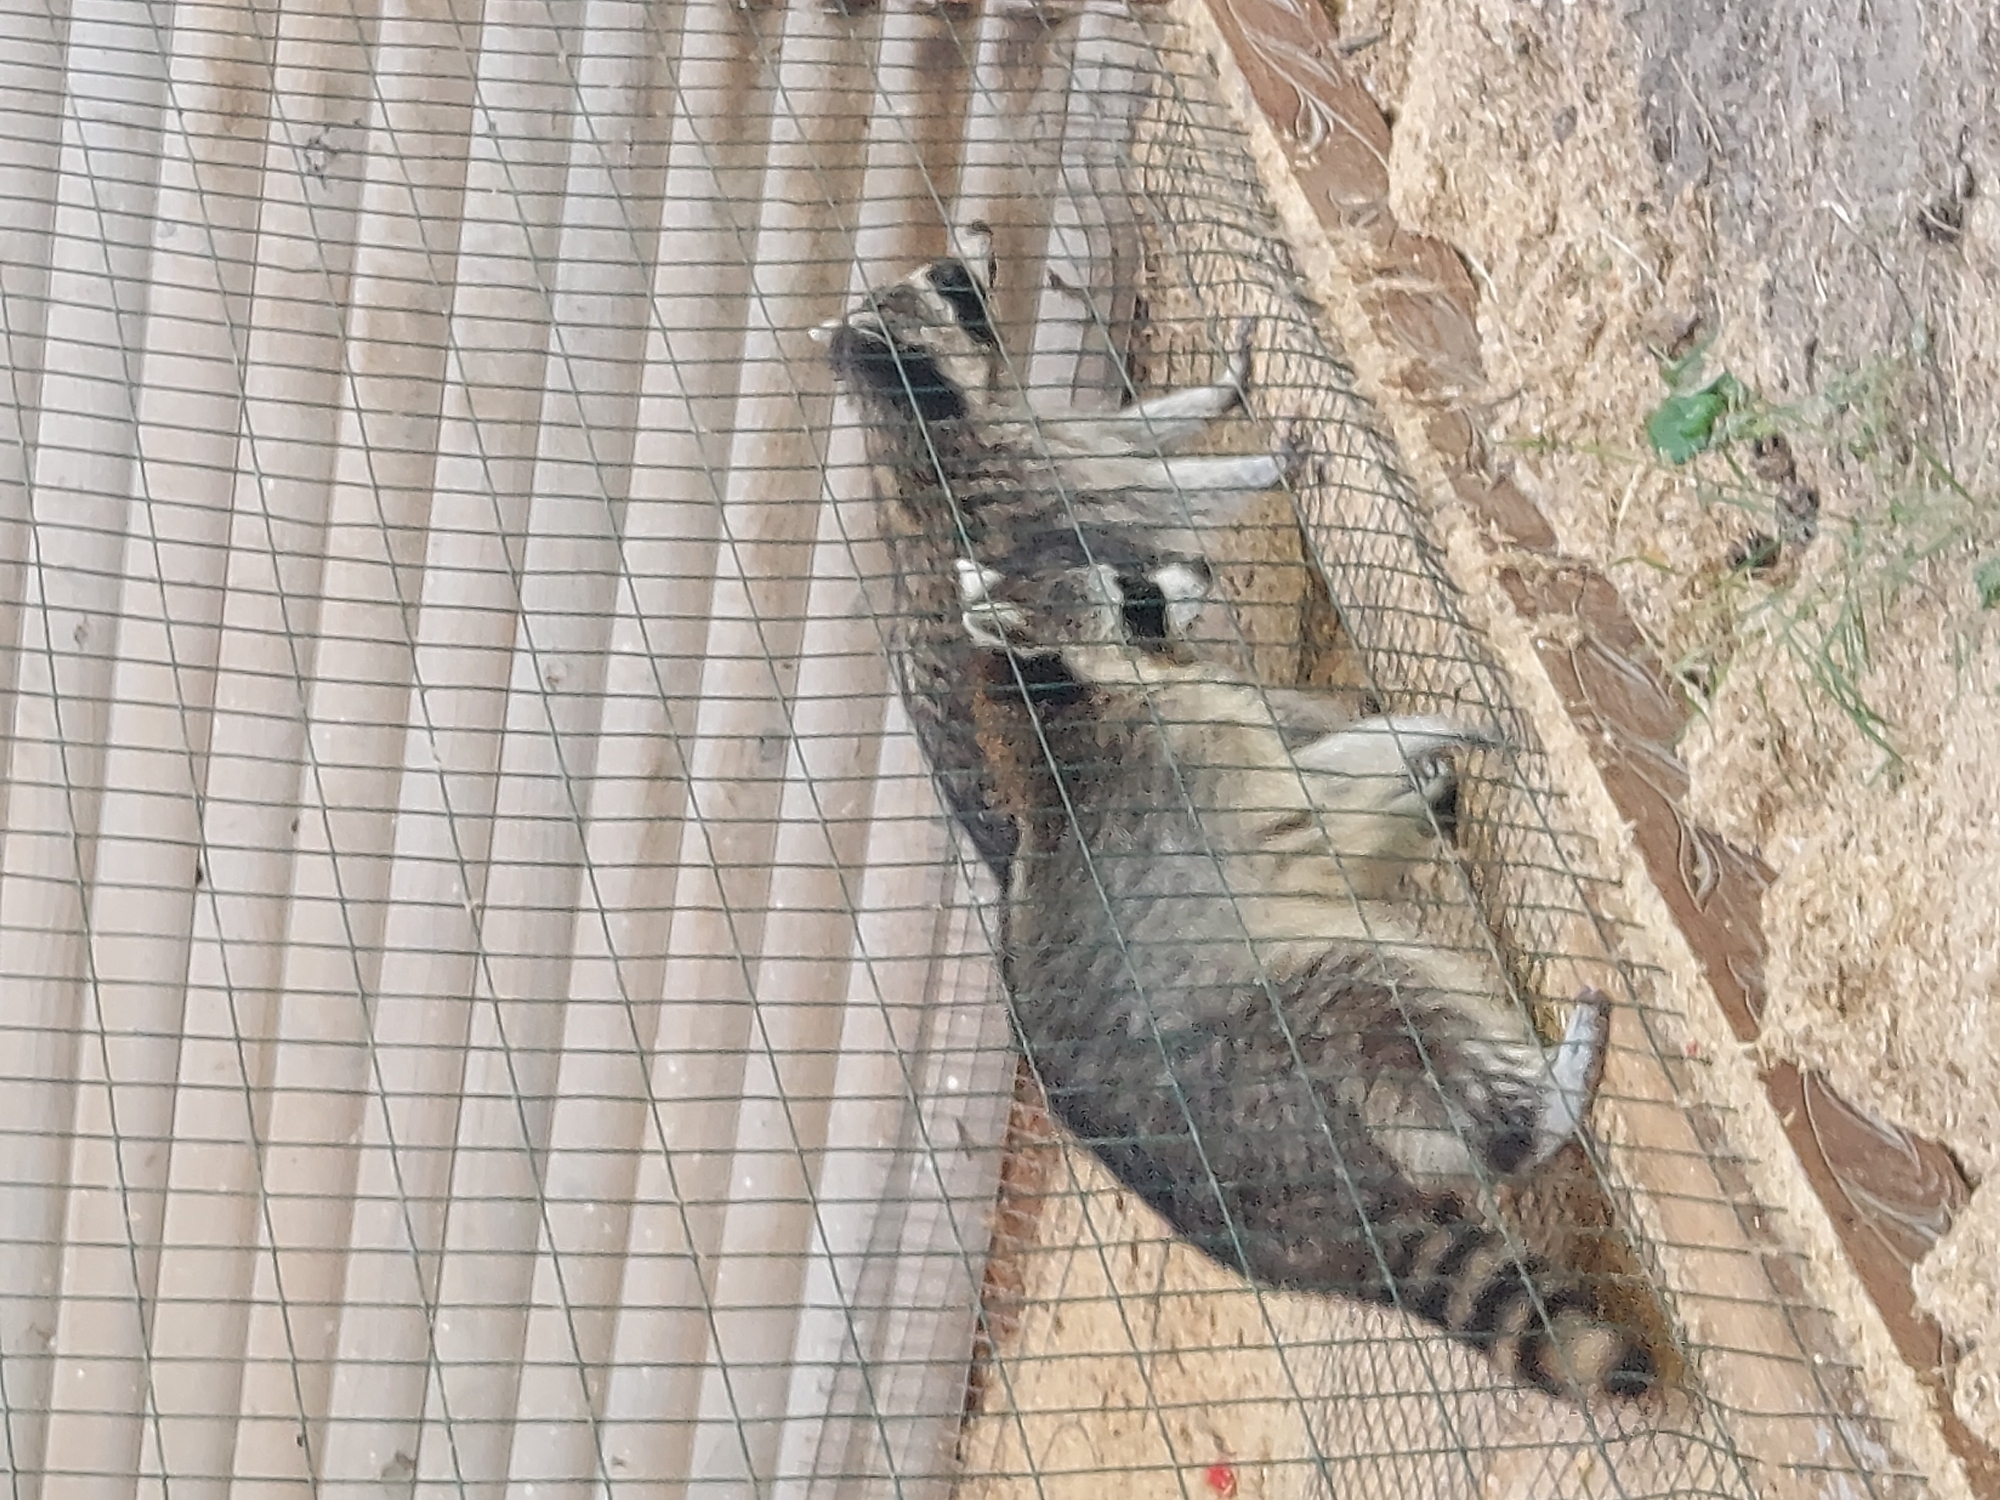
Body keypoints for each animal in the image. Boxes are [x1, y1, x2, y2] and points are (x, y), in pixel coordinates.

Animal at [816, 225, 1288, 886]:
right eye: (951, 283)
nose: (980, 231)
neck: (912, 407)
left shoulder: (1025, 430)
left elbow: (1125, 435)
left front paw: (1220, 389)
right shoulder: (1028, 481)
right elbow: (1162, 492)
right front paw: (1265, 467)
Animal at [958, 552, 1651, 1400]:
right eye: (1136, 592)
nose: (1201, 565)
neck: (1049, 691)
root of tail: (1293, 1220)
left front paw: (1417, 784)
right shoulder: (1187, 762)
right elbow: (1311, 795)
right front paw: (1418, 731)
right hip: (1270, 1059)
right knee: (1384, 1009)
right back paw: (1530, 1117)